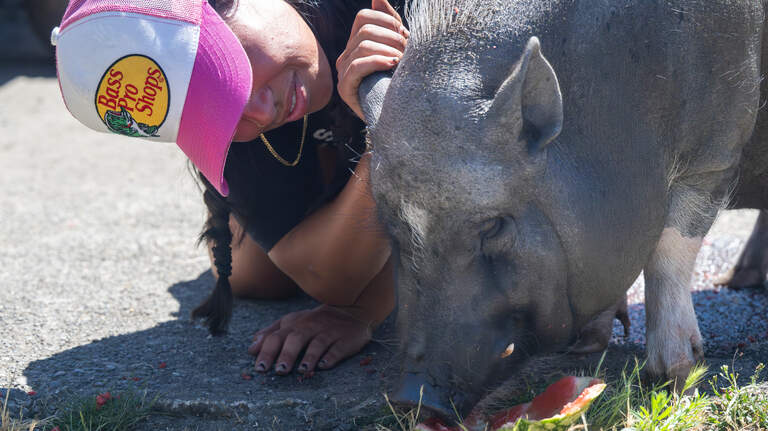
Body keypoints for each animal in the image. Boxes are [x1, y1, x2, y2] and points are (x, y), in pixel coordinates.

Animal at [358, 0, 768, 419]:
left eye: (492, 226)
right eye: (392, 227)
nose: (413, 396)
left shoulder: (715, 154)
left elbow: (669, 253)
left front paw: (672, 380)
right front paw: (587, 345)